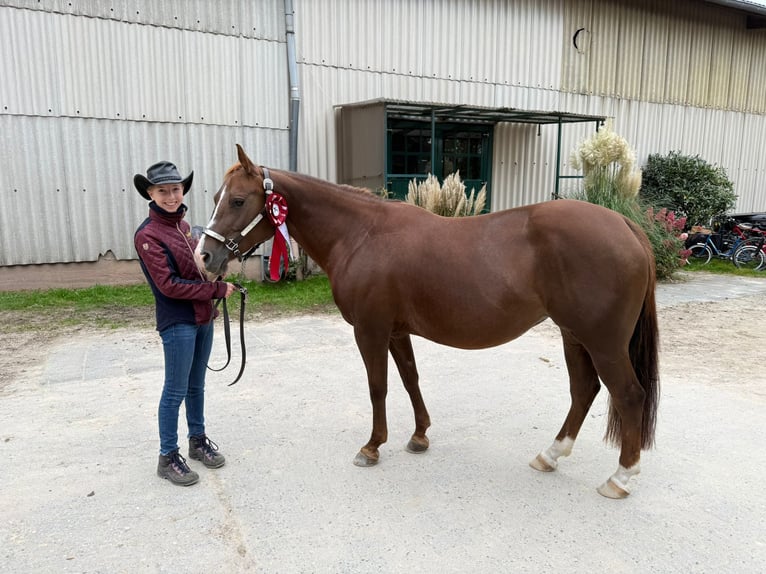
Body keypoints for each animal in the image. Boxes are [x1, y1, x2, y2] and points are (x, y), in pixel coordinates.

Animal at [197, 144, 660, 499]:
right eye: (218, 195)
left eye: (238, 200)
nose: (205, 256)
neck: (361, 234)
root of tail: (625, 224)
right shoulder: (396, 331)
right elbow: (410, 379)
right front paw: (419, 436)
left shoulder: (370, 330)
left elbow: (379, 387)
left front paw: (372, 447)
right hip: (573, 335)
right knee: (584, 391)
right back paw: (550, 455)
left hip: (603, 342)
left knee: (628, 395)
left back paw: (621, 478)